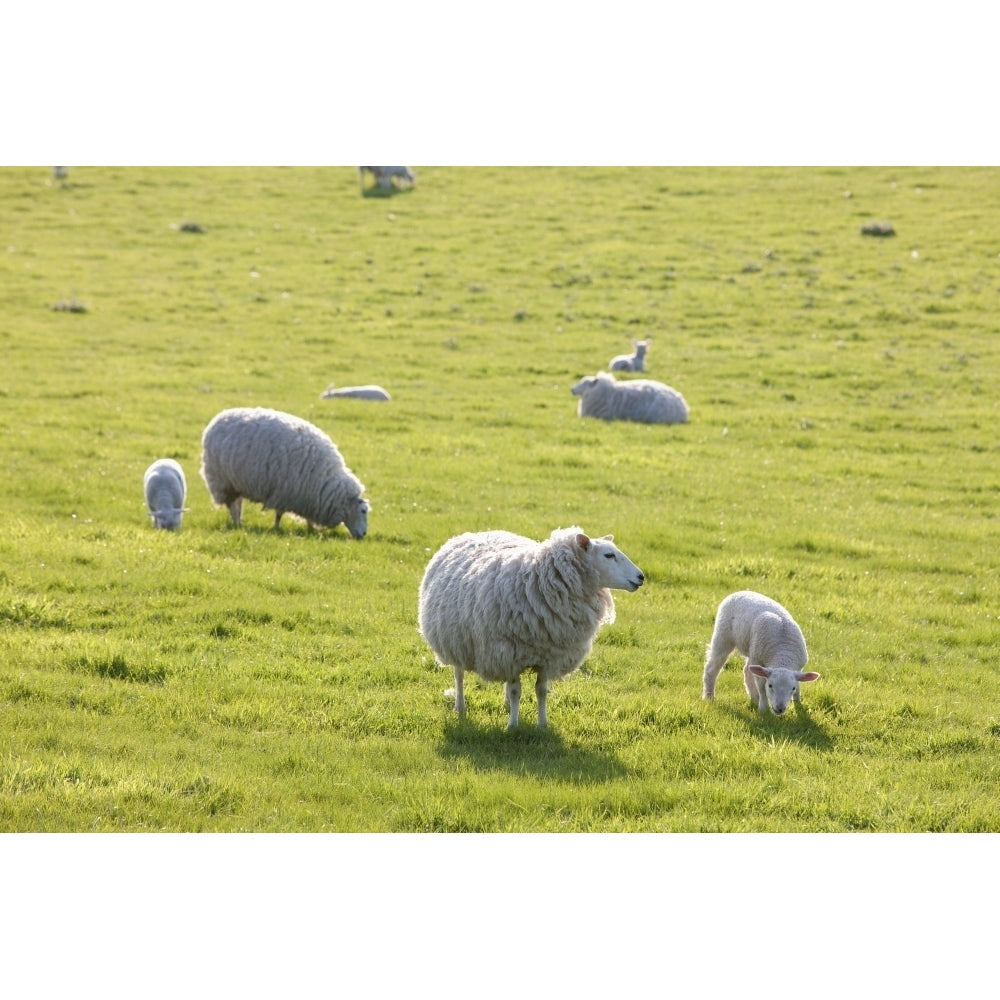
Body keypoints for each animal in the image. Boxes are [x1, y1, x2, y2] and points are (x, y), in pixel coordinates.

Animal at [197, 404, 370, 540]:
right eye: (363, 511)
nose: (363, 535)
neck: (325, 481)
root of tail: (219, 417)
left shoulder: (308, 498)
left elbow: (307, 518)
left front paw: (311, 529)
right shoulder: (285, 492)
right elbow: (279, 514)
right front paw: (277, 528)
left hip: (235, 482)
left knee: (238, 504)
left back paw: (239, 521)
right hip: (222, 480)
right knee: (233, 506)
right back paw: (238, 524)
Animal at [416, 528, 644, 732]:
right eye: (609, 555)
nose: (641, 577)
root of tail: (474, 533)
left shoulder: (548, 655)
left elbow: (541, 691)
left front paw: (542, 725)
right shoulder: (509, 654)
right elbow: (516, 691)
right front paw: (512, 726)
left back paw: (505, 705)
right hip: (456, 640)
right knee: (459, 675)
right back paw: (460, 706)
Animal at [704, 588, 820, 716]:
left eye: (792, 688)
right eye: (770, 686)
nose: (780, 709)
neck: (782, 653)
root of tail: (741, 591)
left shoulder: (798, 668)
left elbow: (799, 688)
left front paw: (799, 705)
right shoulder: (759, 661)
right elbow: (761, 687)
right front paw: (763, 709)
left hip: (752, 648)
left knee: (747, 670)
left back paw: (754, 697)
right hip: (723, 635)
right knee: (711, 668)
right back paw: (709, 697)